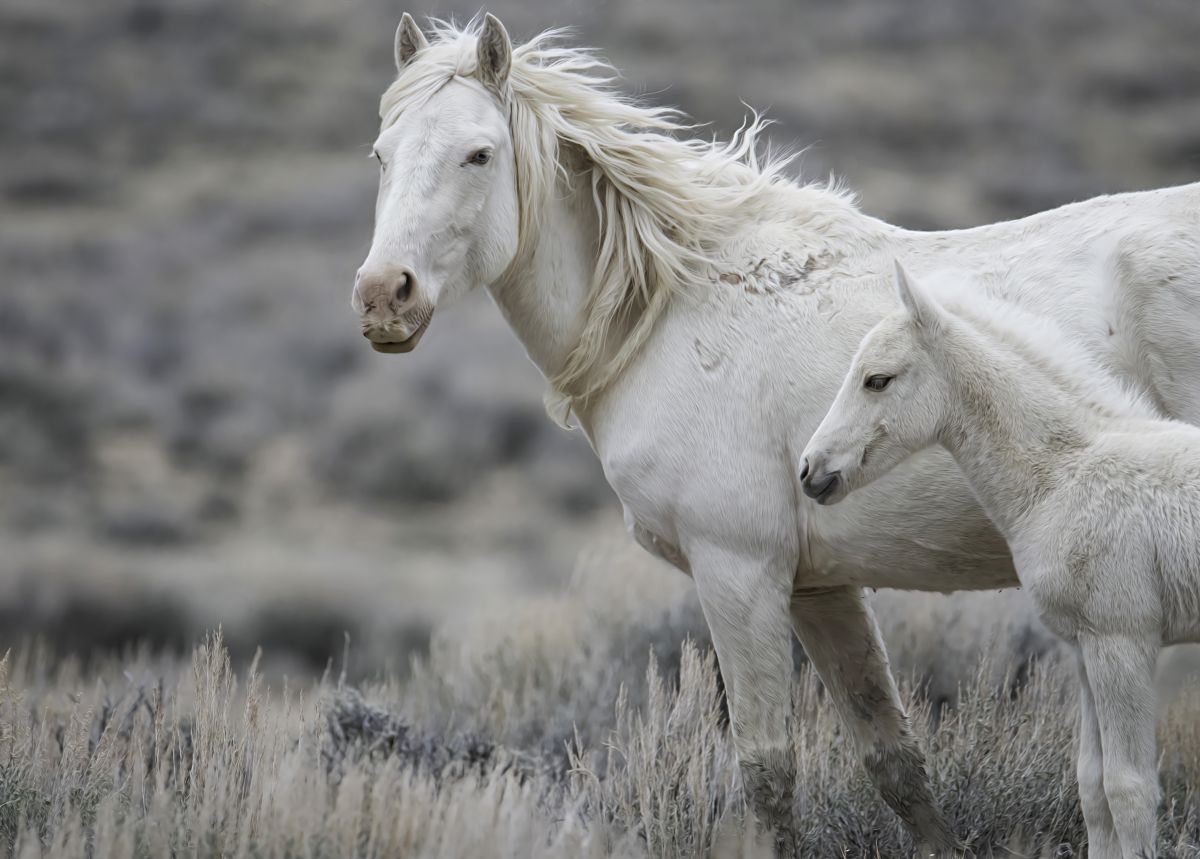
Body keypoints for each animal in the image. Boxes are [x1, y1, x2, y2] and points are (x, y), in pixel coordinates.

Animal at [801, 262, 1200, 858]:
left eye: (877, 379)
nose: (810, 470)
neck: (1066, 471)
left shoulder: (1122, 641)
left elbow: (1127, 790)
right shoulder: (1083, 647)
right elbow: (1092, 786)